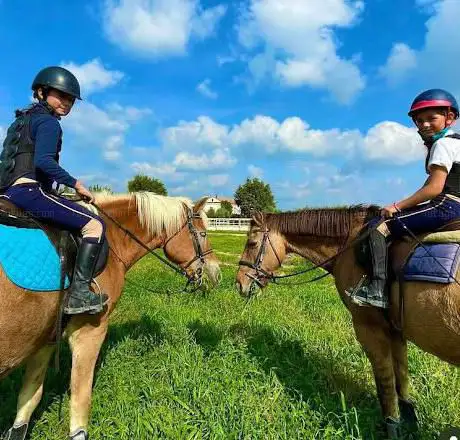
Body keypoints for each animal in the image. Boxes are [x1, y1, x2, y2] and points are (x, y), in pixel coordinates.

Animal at [0, 192, 220, 440]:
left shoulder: (46, 339)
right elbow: (80, 399)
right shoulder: (89, 332)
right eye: (203, 234)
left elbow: (29, 398)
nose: (215, 272)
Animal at [237, 208, 460, 438]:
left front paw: (391, 427)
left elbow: (386, 387)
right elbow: (401, 379)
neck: (351, 243)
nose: (239, 283)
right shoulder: (396, 331)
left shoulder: (369, 329)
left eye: (252, 243)